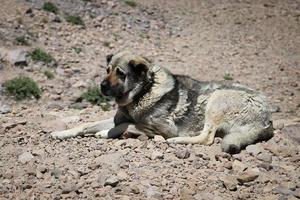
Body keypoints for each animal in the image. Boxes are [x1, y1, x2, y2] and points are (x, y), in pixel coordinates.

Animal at [51, 51, 274, 153]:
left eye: (121, 73)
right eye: (107, 70)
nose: (102, 86)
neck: (143, 92)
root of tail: (266, 119)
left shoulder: (164, 127)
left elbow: (125, 125)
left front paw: (106, 133)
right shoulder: (119, 117)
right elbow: (87, 124)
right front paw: (61, 133)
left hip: (217, 100)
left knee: (206, 137)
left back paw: (176, 141)